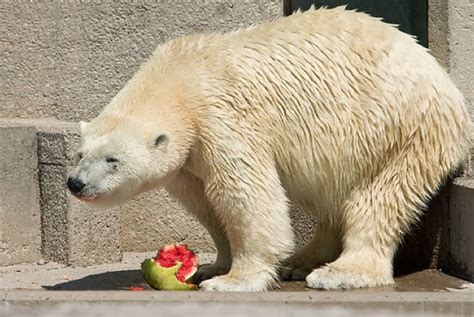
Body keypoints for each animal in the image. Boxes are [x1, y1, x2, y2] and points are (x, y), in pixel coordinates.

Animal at [67, 5, 470, 292]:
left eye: (113, 160)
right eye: (80, 154)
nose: (76, 183)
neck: (178, 79)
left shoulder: (221, 118)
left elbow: (242, 193)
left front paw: (232, 280)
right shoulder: (187, 160)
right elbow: (206, 203)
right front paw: (213, 266)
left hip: (401, 129)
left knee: (378, 198)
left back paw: (338, 272)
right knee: (327, 196)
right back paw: (302, 261)